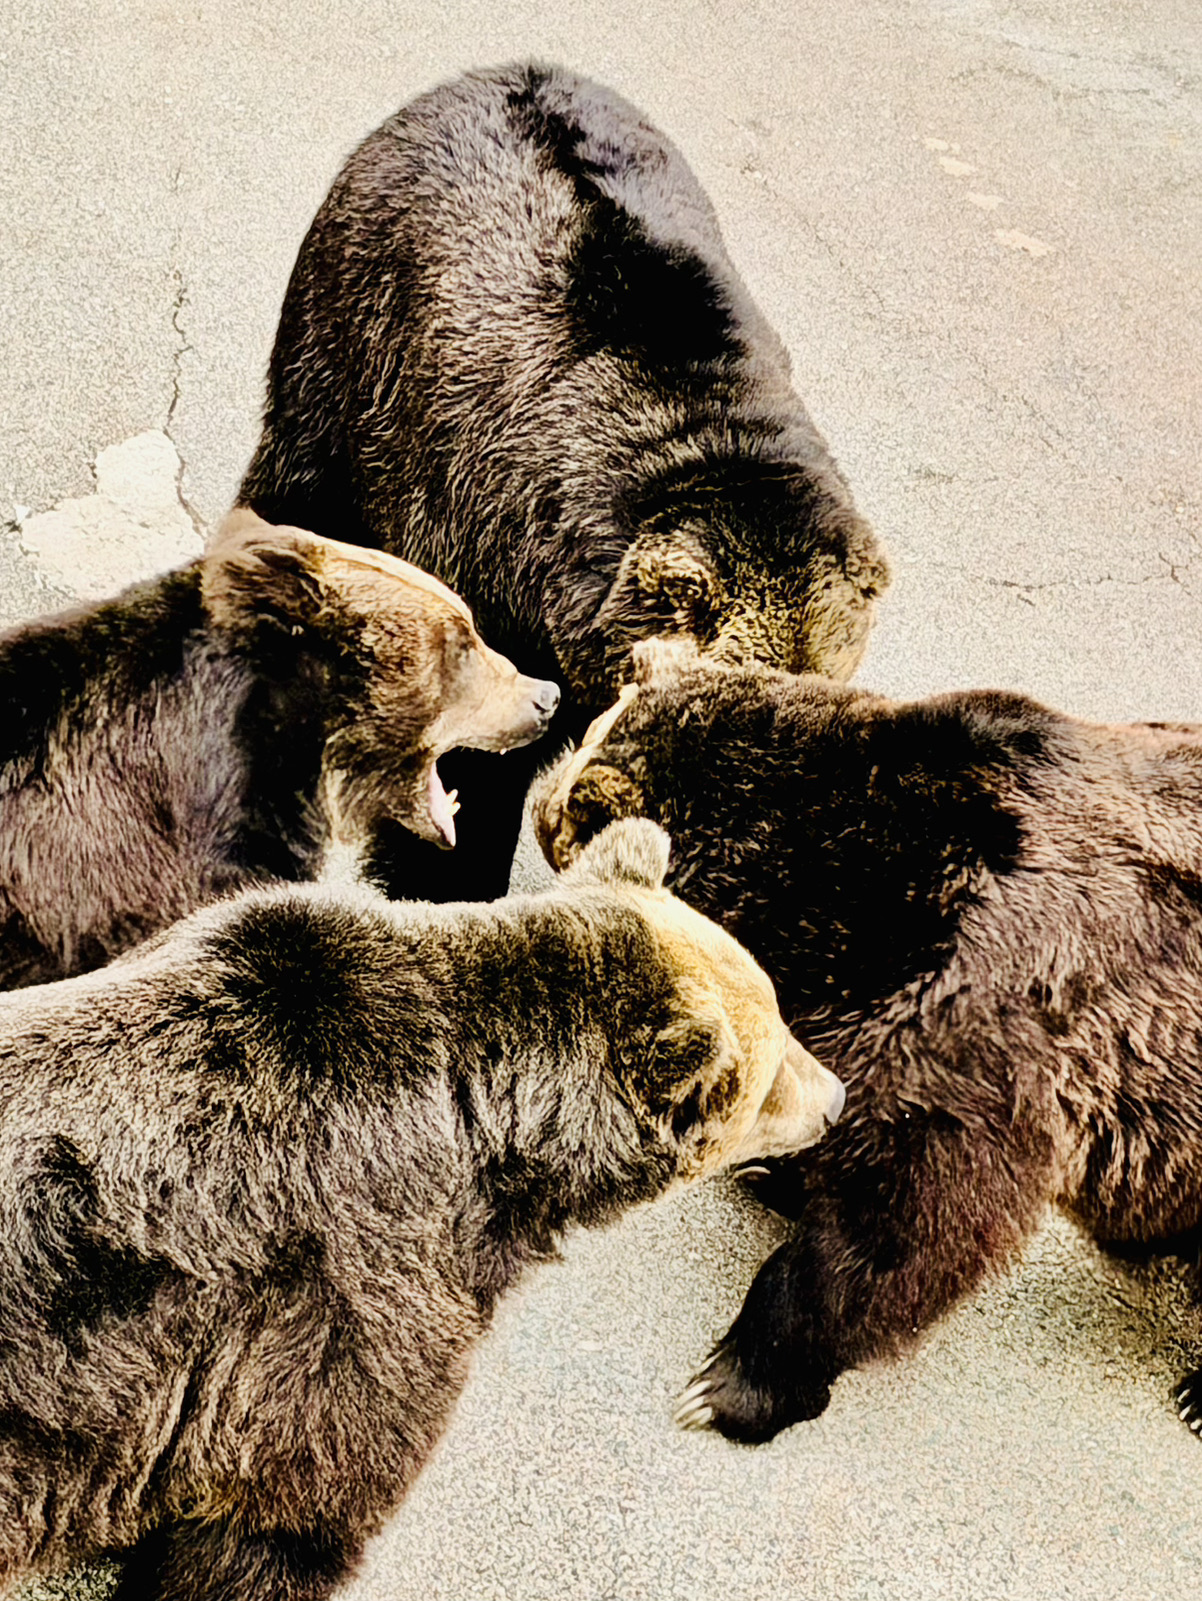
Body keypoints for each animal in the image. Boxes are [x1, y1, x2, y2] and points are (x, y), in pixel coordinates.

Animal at [237, 61, 889, 904]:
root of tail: (492, 70)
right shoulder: (488, 541)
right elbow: (473, 758)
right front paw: (444, 876)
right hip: (348, 350)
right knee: (298, 491)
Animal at [532, 641, 1202, 1443]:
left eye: (568, 807)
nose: (538, 801)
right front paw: (775, 1167)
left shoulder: (978, 1020)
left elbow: (902, 1222)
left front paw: (727, 1384)